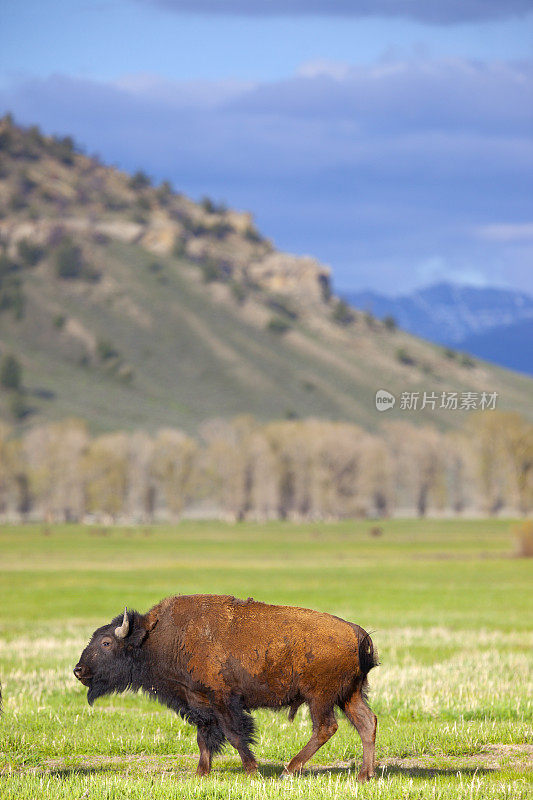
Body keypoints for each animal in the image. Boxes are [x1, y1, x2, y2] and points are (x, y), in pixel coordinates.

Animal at [74, 592, 378, 776]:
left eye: (106, 642)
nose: (79, 670)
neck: (157, 637)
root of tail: (357, 632)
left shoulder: (222, 701)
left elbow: (234, 734)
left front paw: (252, 770)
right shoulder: (198, 701)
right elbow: (204, 737)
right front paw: (201, 773)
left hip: (320, 697)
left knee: (326, 727)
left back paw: (289, 770)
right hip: (348, 695)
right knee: (366, 723)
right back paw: (364, 776)